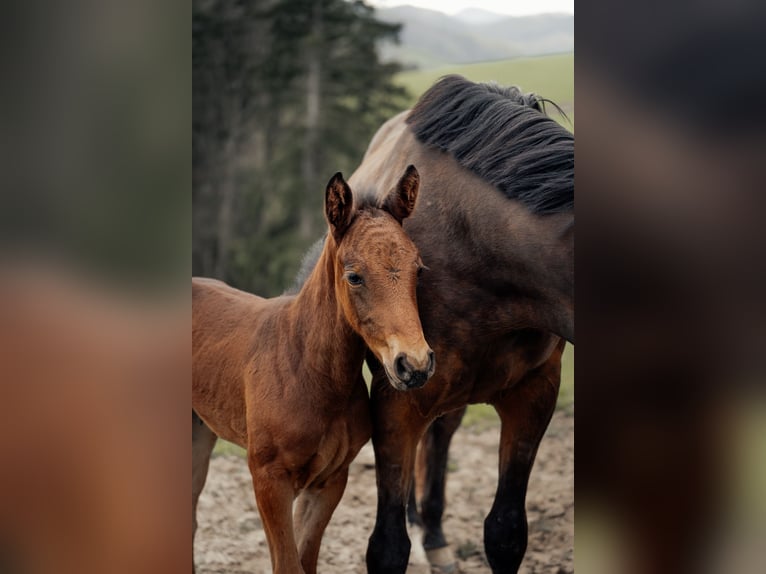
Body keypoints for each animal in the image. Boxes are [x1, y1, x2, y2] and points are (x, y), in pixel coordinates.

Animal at [191, 167, 436, 574]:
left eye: (418, 269)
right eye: (354, 276)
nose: (414, 364)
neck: (307, 369)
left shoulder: (329, 481)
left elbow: (307, 560)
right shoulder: (269, 480)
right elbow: (287, 564)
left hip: (200, 432)